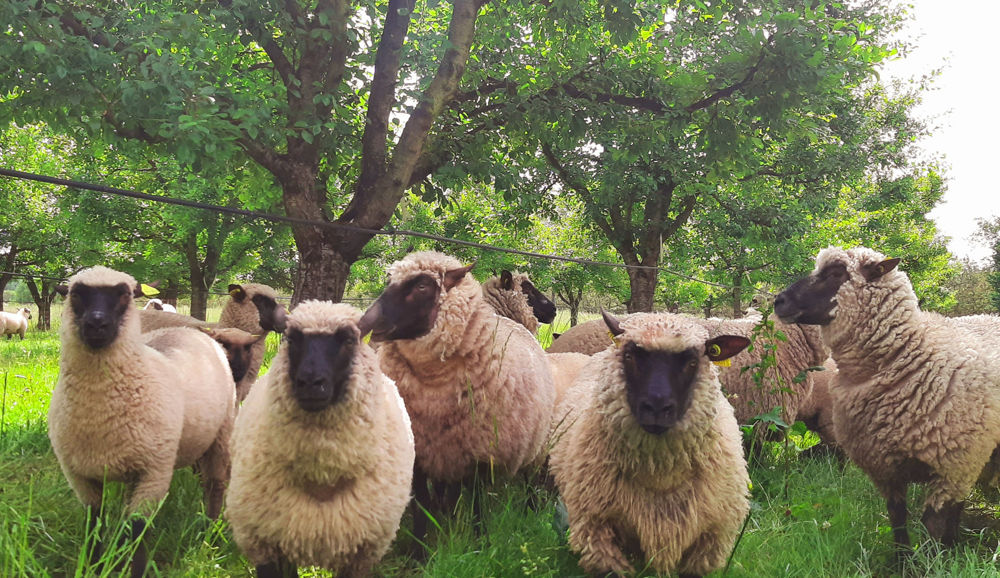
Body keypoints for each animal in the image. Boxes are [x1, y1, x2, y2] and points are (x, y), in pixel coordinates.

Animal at [48, 266, 235, 576]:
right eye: (76, 293)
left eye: (125, 293)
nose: (96, 324)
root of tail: (187, 330)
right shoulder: (78, 475)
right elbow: (94, 524)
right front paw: (94, 566)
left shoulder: (154, 472)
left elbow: (137, 527)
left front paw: (134, 567)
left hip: (221, 435)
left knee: (215, 485)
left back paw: (211, 532)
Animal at [226, 301, 414, 578]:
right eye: (291, 339)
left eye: (349, 339)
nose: (310, 383)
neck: (322, 477)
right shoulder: (264, 544)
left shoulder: (361, 552)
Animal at [359, 251, 556, 538]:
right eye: (528, 289)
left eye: (422, 285)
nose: (554, 310)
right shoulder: (423, 451)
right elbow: (422, 503)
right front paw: (422, 543)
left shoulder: (476, 450)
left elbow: (474, 499)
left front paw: (478, 536)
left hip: (535, 441)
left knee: (527, 477)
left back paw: (530, 509)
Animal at [549, 311, 751, 577]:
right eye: (630, 356)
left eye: (692, 362)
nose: (656, 408)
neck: (660, 475)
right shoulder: (596, 525)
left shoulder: (711, 537)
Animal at [774, 246, 1000, 549]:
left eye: (836, 273)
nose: (779, 301)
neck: (905, 358)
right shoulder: (885, 468)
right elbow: (898, 522)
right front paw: (904, 558)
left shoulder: (952, 466)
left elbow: (933, 526)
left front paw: (934, 555)